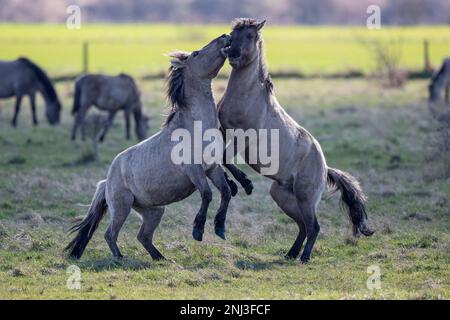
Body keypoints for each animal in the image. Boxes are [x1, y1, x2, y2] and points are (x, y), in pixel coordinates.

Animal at [66, 34, 239, 260]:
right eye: (196, 53)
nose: (225, 37)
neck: (195, 127)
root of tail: (107, 180)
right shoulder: (194, 171)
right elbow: (208, 194)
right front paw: (198, 230)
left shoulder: (212, 169)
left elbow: (225, 192)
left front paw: (220, 228)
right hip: (122, 207)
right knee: (110, 234)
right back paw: (120, 258)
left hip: (155, 211)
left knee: (143, 236)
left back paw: (161, 258)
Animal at [220, 18, 374, 262]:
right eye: (233, 35)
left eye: (251, 36)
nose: (232, 53)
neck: (249, 97)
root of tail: (325, 168)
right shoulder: (224, 132)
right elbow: (218, 159)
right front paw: (235, 185)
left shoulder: (242, 138)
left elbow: (225, 158)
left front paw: (245, 184)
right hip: (282, 195)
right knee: (303, 226)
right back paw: (291, 254)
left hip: (305, 199)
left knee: (314, 227)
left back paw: (304, 258)